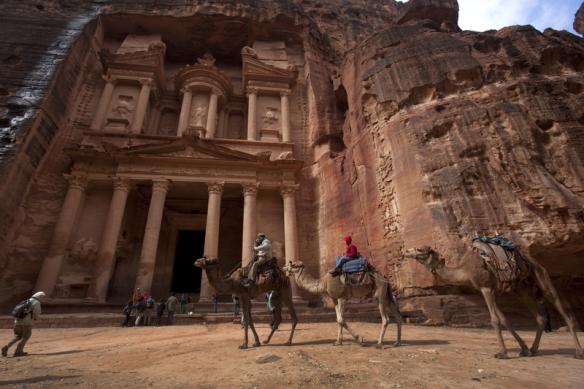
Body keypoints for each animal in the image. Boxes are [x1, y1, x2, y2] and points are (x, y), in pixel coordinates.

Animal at [406, 246, 584, 358]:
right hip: (522, 289)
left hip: (542, 276)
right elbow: (504, 320)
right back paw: (533, 349)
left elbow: (495, 320)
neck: (465, 270)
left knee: (562, 308)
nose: (406, 251)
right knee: (540, 317)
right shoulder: (488, 290)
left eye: (421, 249)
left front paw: (502, 353)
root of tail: (531, 259)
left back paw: (578, 352)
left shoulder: (486, 288)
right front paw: (524, 349)